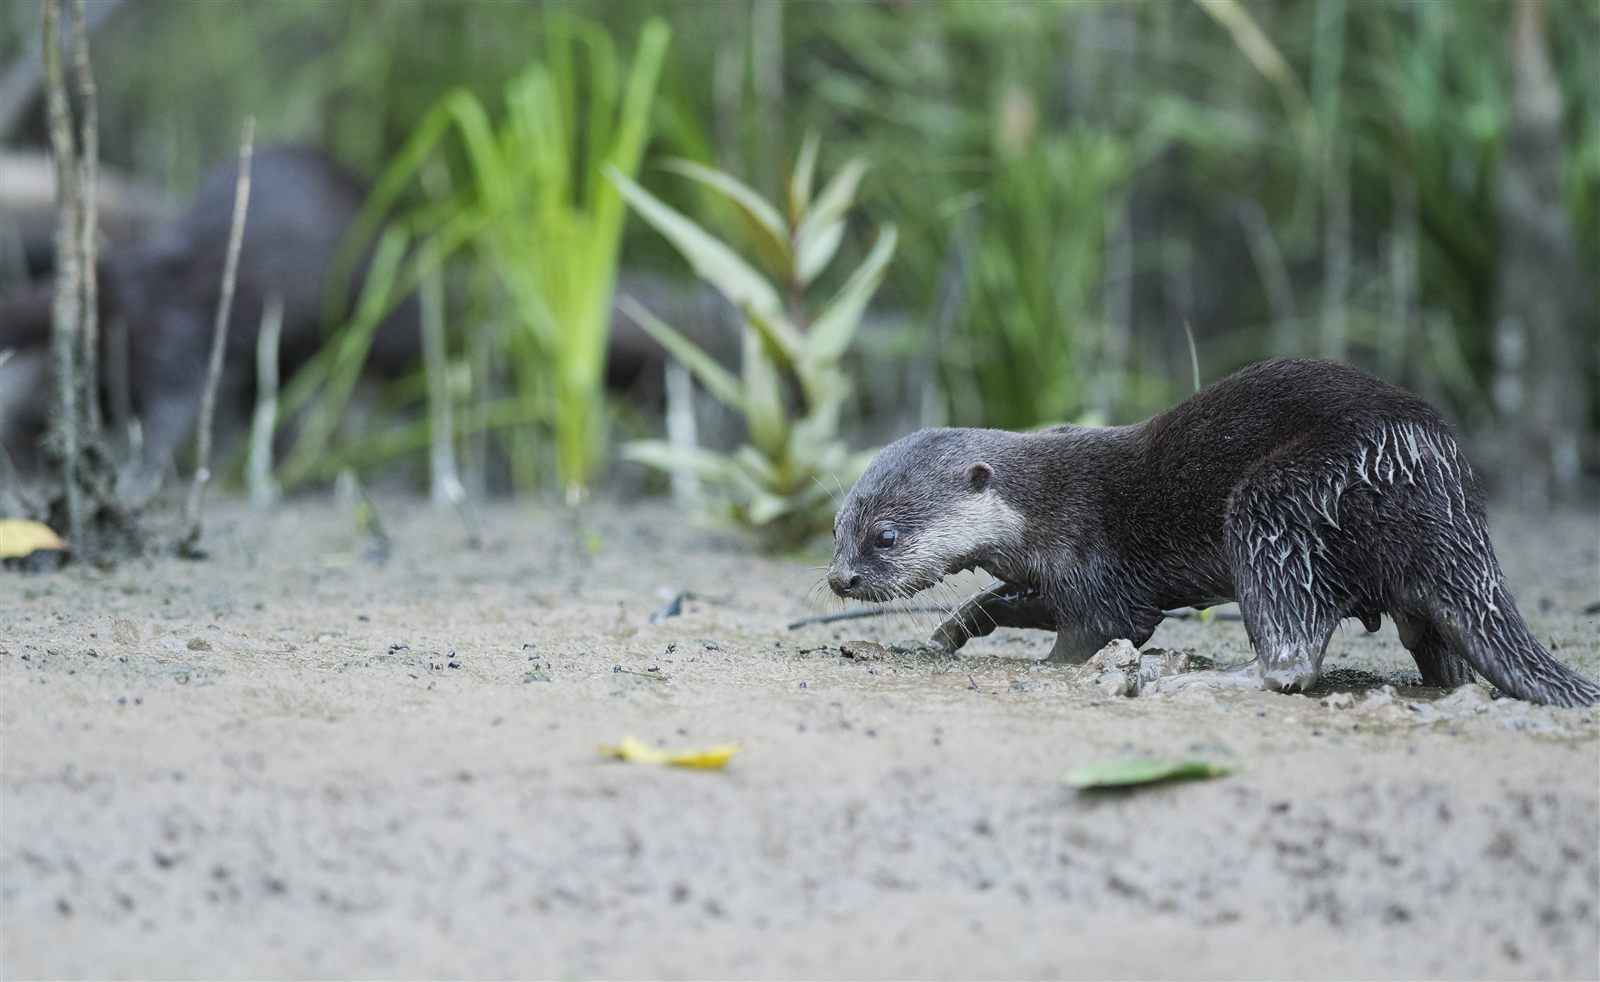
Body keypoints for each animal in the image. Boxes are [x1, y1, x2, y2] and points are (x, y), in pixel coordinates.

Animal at [827, 358, 1600, 708]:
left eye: (885, 536)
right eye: (838, 528)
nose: (840, 578)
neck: (1041, 502)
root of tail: (1427, 464)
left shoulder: (1092, 564)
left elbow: (1101, 628)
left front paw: (1051, 667)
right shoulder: (1049, 571)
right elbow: (1007, 600)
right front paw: (949, 630)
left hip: (1278, 500)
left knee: (1292, 650)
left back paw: (1204, 675)